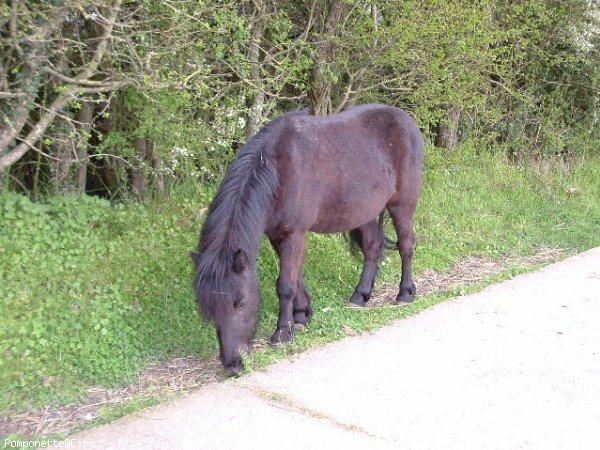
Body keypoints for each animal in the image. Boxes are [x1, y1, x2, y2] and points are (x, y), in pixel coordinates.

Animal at [191, 103, 422, 374]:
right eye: (210, 310)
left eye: (240, 303)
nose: (233, 365)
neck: (278, 170)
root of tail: (404, 118)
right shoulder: (278, 235)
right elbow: (296, 277)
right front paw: (301, 314)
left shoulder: (295, 233)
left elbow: (285, 284)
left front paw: (283, 332)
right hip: (363, 210)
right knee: (372, 248)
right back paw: (360, 295)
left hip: (402, 204)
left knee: (406, 246)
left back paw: (405, 293)